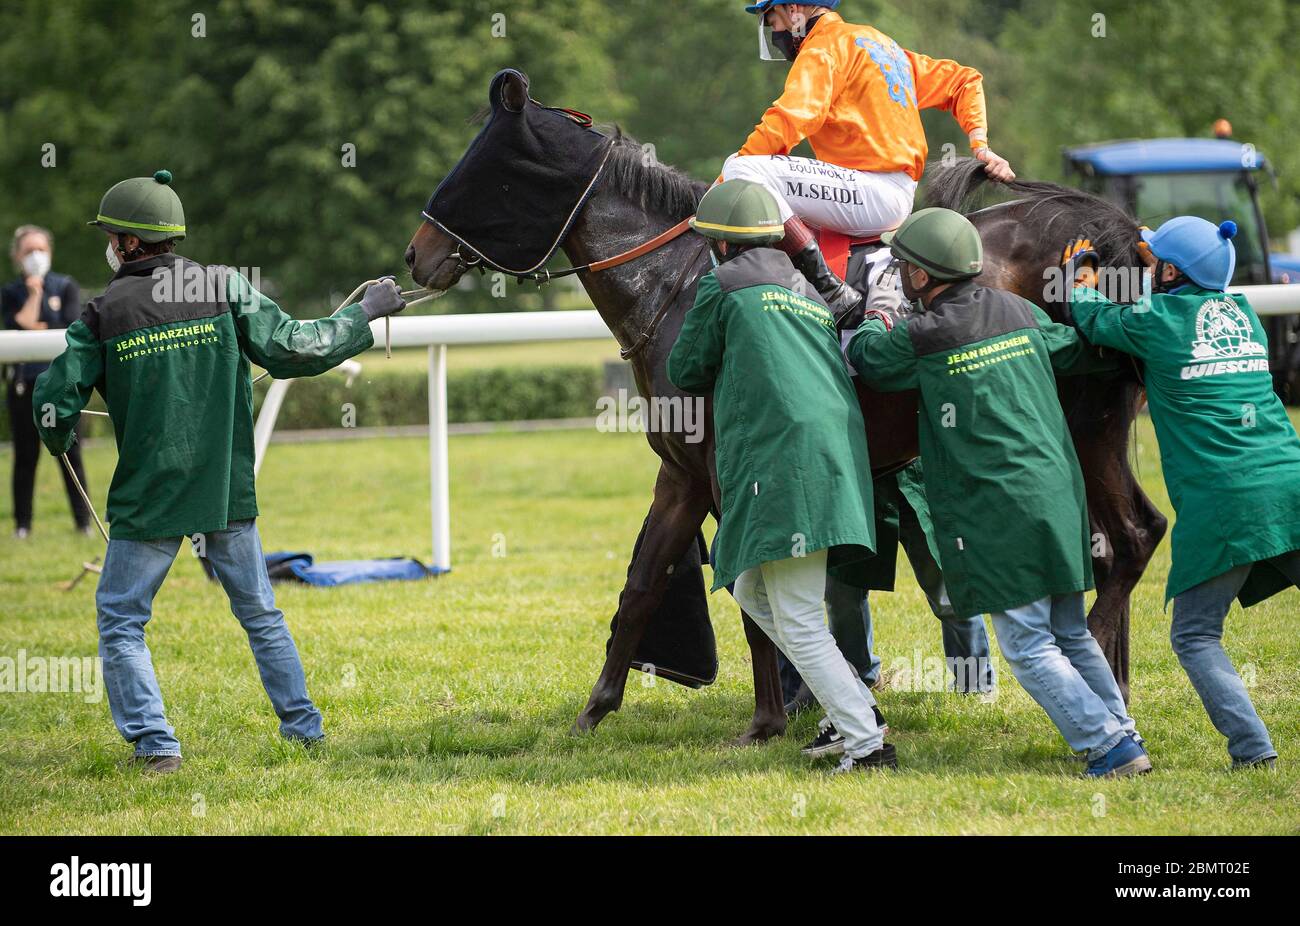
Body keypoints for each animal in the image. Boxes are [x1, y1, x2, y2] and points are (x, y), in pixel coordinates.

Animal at [408, 68, 1170, 743]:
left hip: (1085, 422)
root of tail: (1117, 234)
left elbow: (751, 595)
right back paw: (1114, 687)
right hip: (1088, 429)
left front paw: (767, 720)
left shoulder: (735, 471)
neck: (675, 283)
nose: (417, 256)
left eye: (481, 174)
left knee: (1133, 537)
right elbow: (642, 586)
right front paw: (593, 713)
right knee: (1123, 541)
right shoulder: (682, 473)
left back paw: (1099, 680)